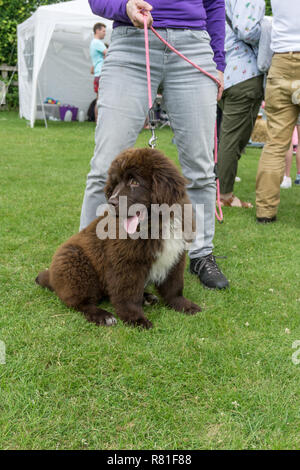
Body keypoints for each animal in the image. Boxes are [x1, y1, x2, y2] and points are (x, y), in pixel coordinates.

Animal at [35, 149, 202, 328]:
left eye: (134, 182)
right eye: (116, 183)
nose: (112, 201)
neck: (156, 224)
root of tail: (52, 276)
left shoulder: (176, 256)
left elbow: (174, 286)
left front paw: (183, 305)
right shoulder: (125, 262)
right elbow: (127, 294)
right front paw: (136, 319)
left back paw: (147, 297)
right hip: (76, 265)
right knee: (79, 302)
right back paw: (102, 315)